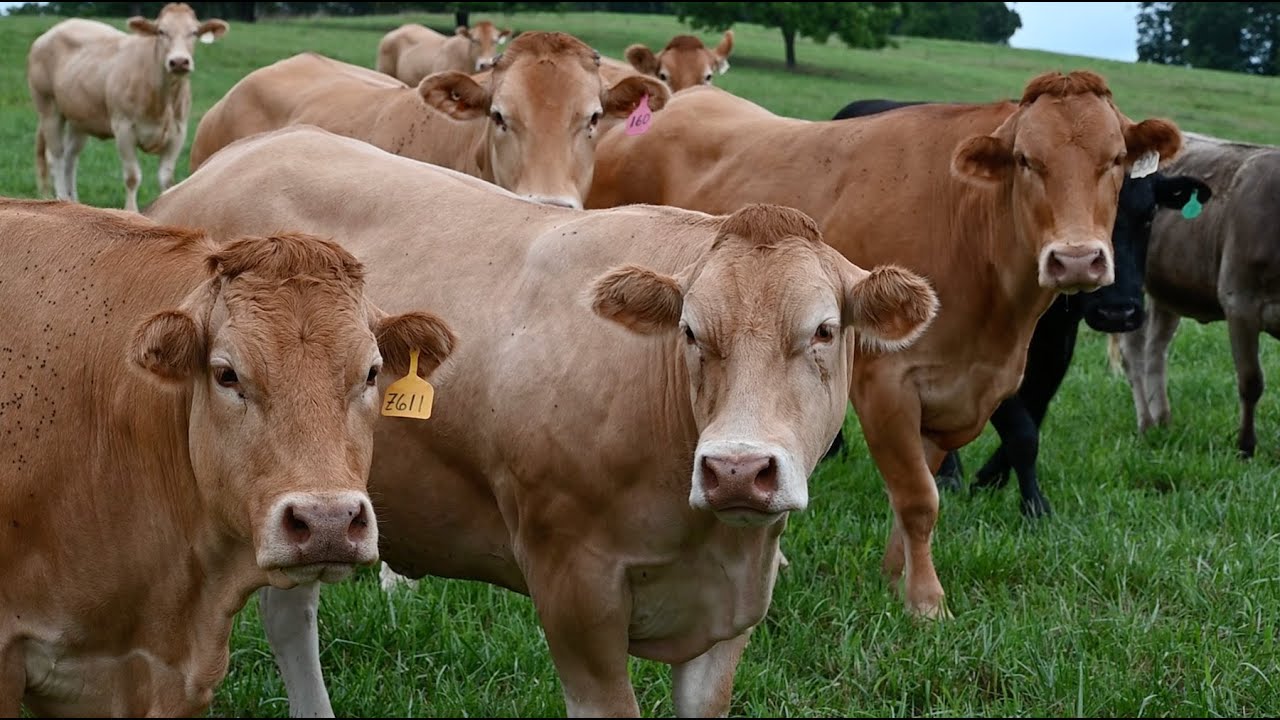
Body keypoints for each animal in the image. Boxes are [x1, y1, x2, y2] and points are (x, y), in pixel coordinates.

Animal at [26, 2, 228, 212]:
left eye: (194, 32)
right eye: (161, 31)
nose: (179, 61)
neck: (161, 102)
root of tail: (55, 30)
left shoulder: (178, 133)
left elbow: (167, 179)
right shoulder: (123, 128)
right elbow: (132, 177)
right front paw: (131, 211)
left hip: (79, 118)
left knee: (70, 158)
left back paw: (74, 201)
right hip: (48, 107)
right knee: (56, 157)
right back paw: (62, 198)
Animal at [143, 124, 940, 718]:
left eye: (824, 331)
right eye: (690, 332)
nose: (738, 469)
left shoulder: (733, 609)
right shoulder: (574, 587)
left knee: (290, 613)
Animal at [824, 98, 1213, 518]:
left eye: (1148, 215)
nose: (1118, 312)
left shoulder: (1055, 349)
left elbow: (1033, 417)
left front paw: (993, 479)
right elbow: (1021, 429)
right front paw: (1024, 501)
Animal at [1113, 132, 1280, 459]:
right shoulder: (1239, 302)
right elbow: (1251, 381)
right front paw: (1245, 448)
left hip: (1167, 284)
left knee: (1156, 348)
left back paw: (1163, 420)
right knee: (1133, 351)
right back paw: (1146, 424)